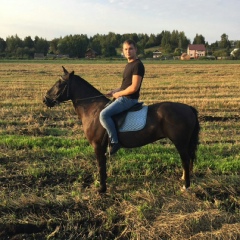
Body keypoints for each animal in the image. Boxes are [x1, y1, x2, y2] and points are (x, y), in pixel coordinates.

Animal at [43, 66, 201, 193]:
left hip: (180, 143)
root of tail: (189, 108)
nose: (45, 100)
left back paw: (186, 185)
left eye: (60, 83)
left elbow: (100, 166)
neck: (92, 109)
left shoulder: (98, 146)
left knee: (185, 160)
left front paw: (102, 189)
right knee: (188, 160)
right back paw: (183, 178)